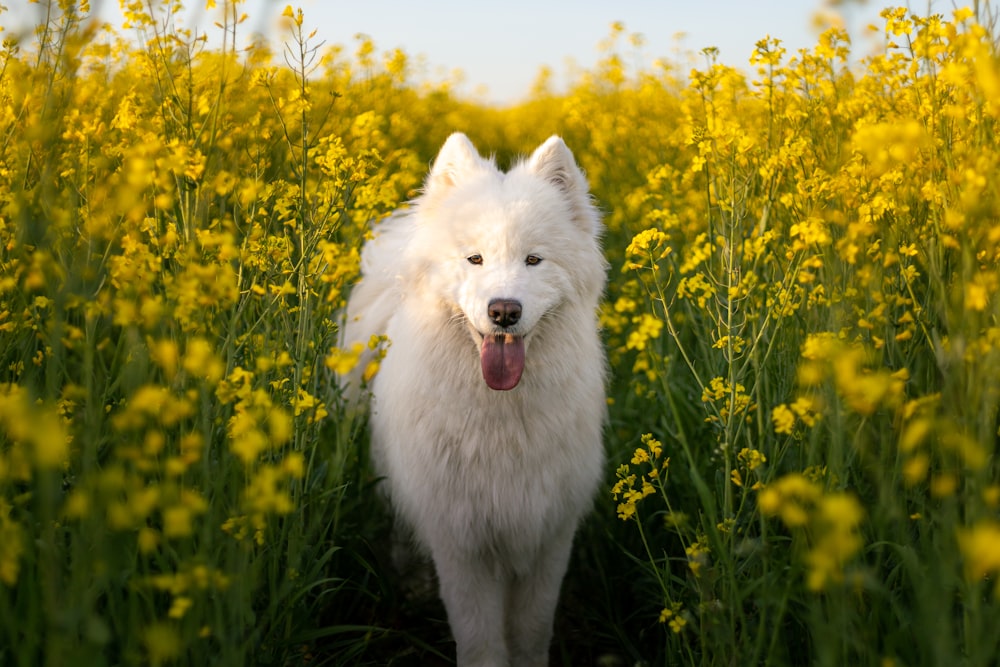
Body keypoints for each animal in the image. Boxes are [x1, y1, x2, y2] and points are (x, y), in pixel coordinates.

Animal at [344, 132, 604, 667]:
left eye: (533, 260)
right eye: (475, 259)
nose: (504, 311)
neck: (503, 416)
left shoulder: (549, 533)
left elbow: (531, 630)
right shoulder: (461, 540)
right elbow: (480, 637)